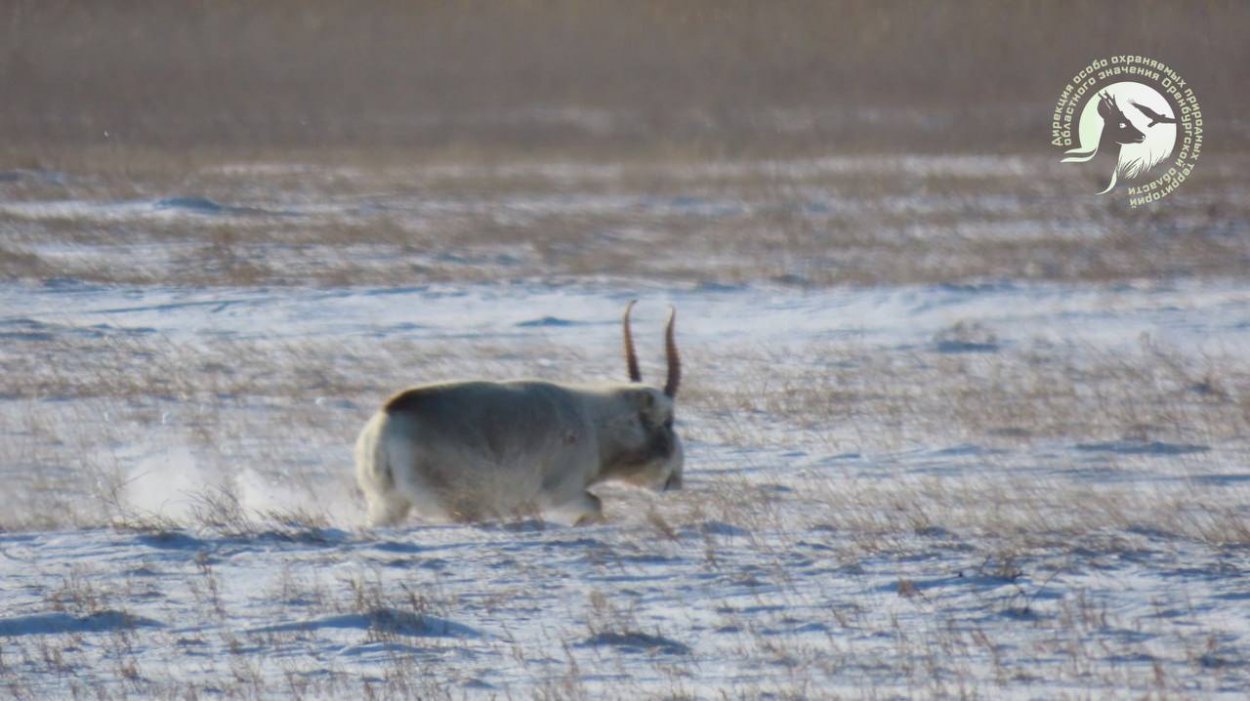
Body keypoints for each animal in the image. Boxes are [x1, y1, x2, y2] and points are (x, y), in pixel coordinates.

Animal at [354, 301, 683, 526]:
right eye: (668, 421)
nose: (675, 481)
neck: (593, 422)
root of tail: (386, 422)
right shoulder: (559, 493)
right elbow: (596, 504)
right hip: (455, 504)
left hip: (388, 507)